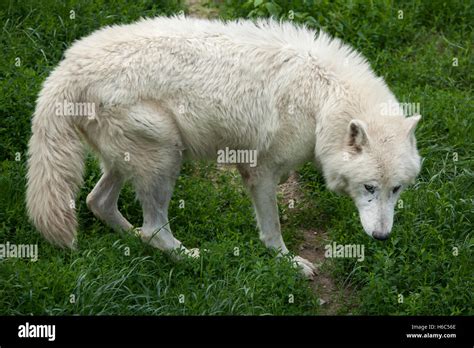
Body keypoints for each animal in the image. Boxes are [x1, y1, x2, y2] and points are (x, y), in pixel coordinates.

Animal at [25, 16, 420, 278]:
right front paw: (289, 264)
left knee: (99, 202)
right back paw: (192, 257)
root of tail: (67, 69)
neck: (323, 99)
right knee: (154, 229)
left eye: (396, 189)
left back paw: (132, 238)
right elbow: (272, 231)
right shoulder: (261, 171)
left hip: (132, 160)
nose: (382, 237)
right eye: (368, 187)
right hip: (166, 157)